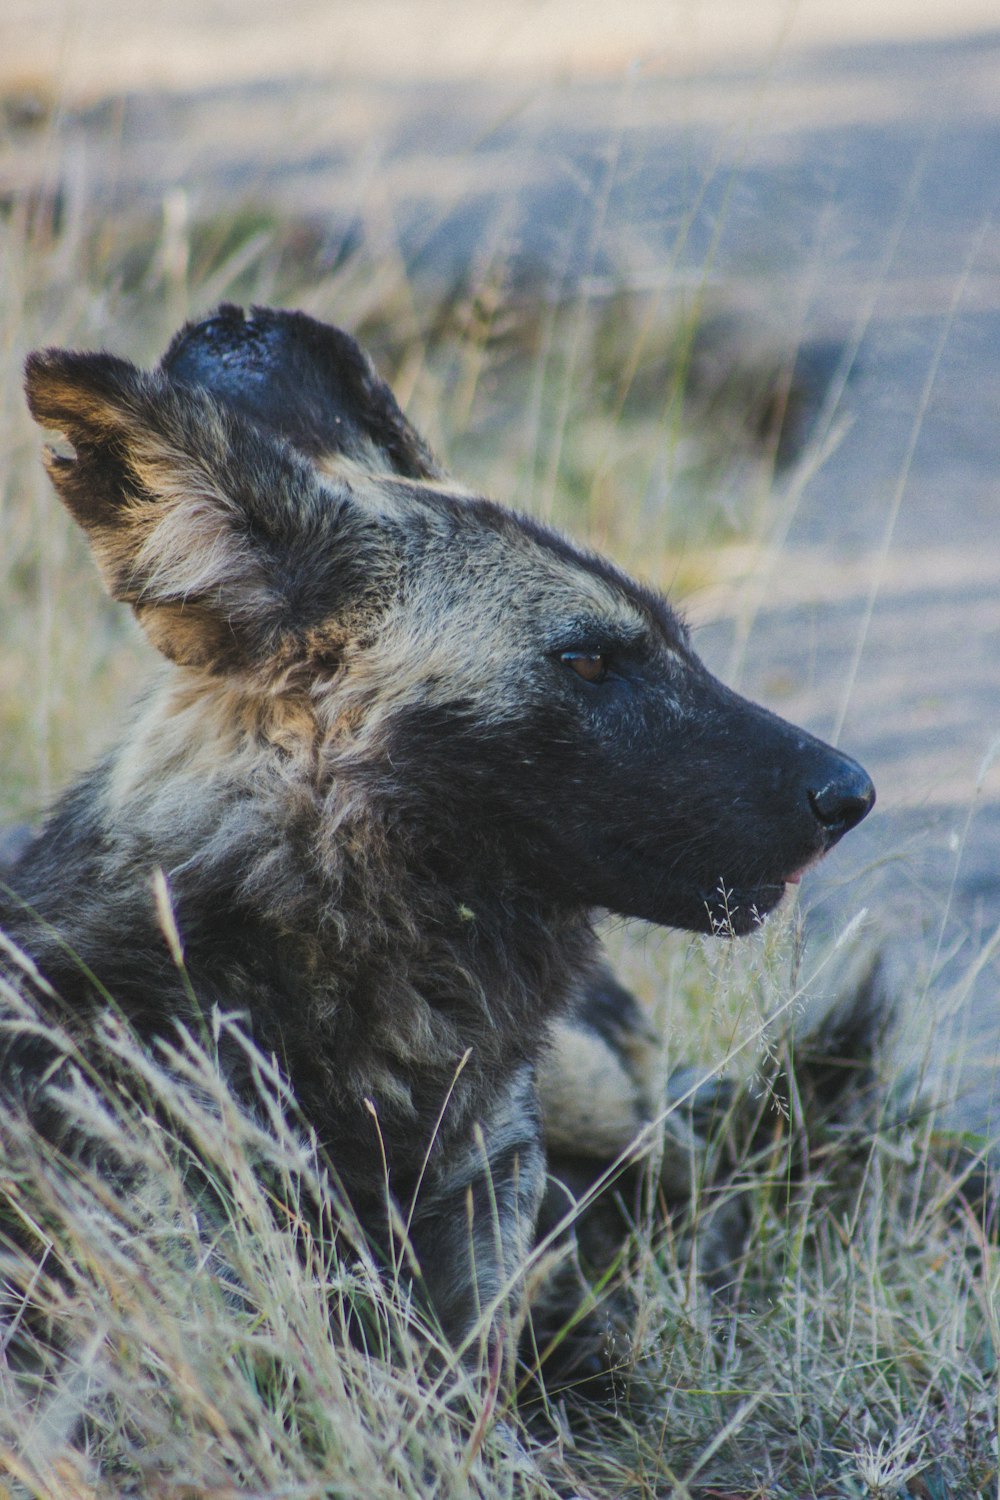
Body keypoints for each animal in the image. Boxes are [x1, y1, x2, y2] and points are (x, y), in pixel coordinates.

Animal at [0, 304, 869, 1380]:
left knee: (706, 1163)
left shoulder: (482, 1210)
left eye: (679, 641)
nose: (851, 793)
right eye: (587, 660)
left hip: (601, 1100)